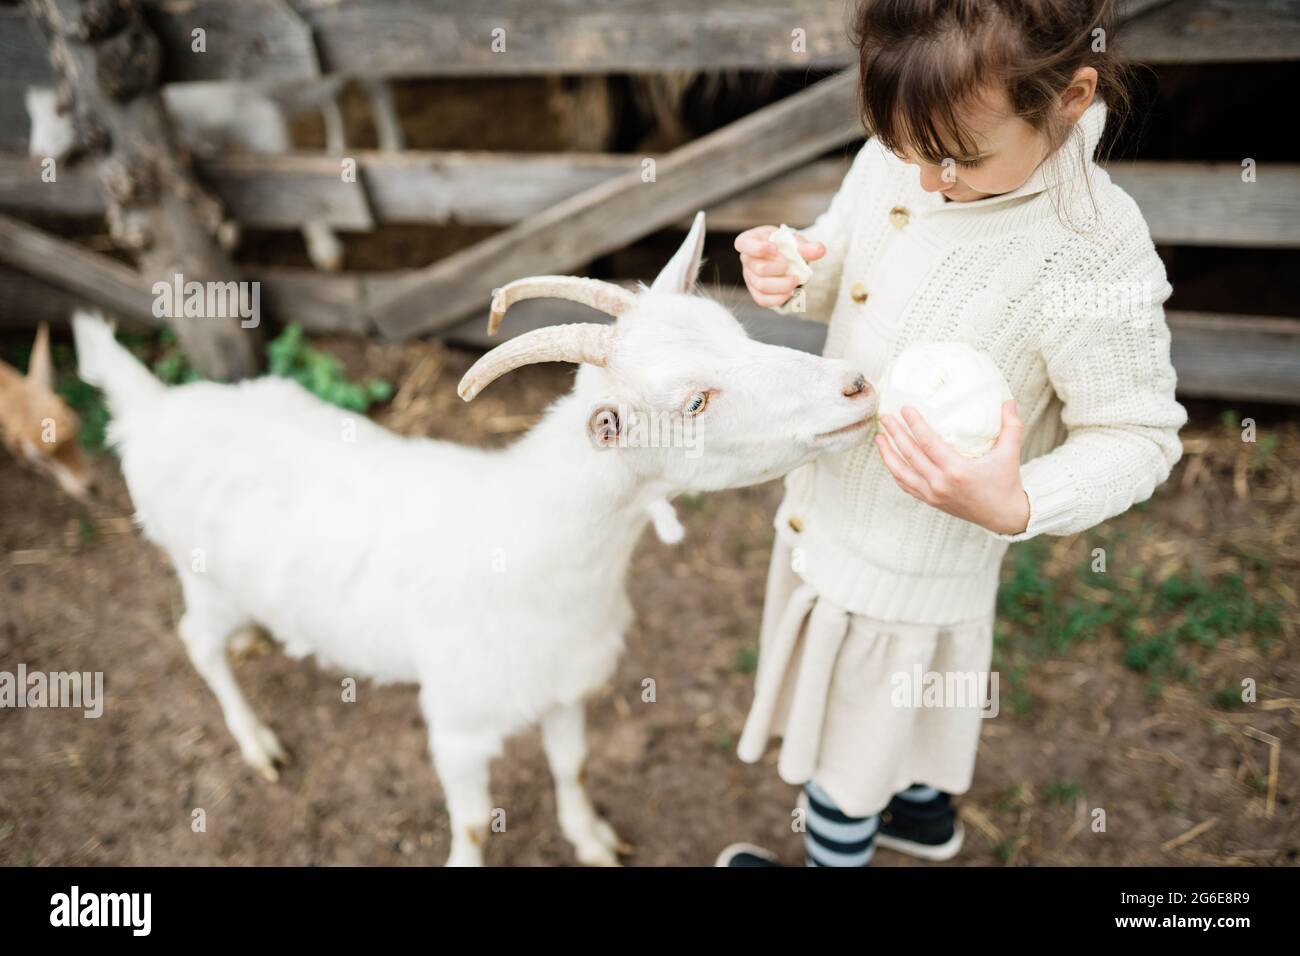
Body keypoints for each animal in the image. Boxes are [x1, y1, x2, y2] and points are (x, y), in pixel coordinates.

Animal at [72, 213, 877, 865]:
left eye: (739, 334)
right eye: (696, 401)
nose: (858, 386)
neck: (531, 553)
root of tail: (151, 413)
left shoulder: (566, 690)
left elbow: (572, 767)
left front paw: (592, 839)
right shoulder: (457, 726)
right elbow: (466, 823)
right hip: (199, 576)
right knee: (196, 641)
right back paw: (256, 741)